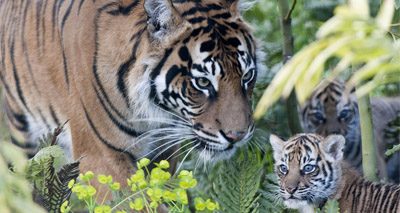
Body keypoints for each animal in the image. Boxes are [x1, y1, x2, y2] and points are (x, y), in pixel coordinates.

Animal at [0, 0, 262, 188]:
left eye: (247, 76)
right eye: (203, 82)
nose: (237, 136)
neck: (155, 112)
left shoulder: (163, 152)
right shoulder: (101, 157)